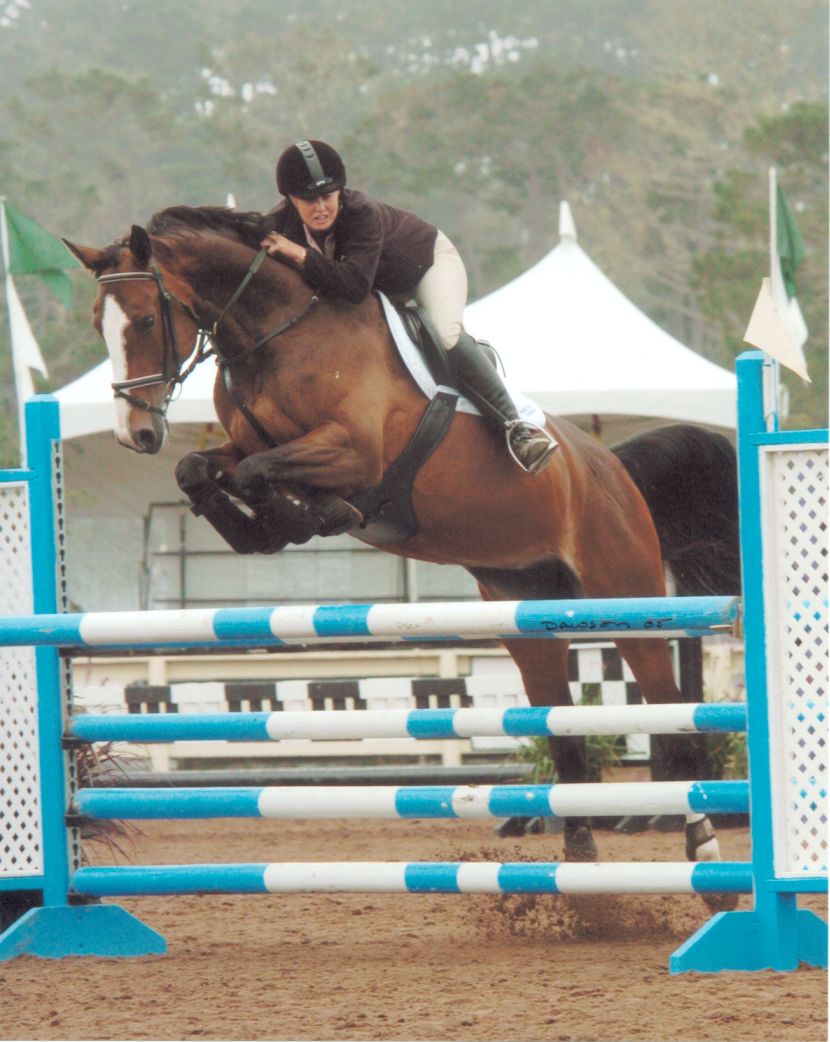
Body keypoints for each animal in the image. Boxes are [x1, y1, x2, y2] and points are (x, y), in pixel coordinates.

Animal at [65, 206, 740, 906]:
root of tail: (613, 469)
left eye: (146, 320)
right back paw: (580, 868)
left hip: (625, 598)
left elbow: (260, 472)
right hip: (525, 608)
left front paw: (308, 514)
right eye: (97, 324)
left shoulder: (352, 452)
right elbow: (203, 467)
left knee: (672, 718)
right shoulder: (246, 444)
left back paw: (707, 864)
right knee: (561, 727)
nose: (137, 434)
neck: (275, 334)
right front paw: (263, 528)